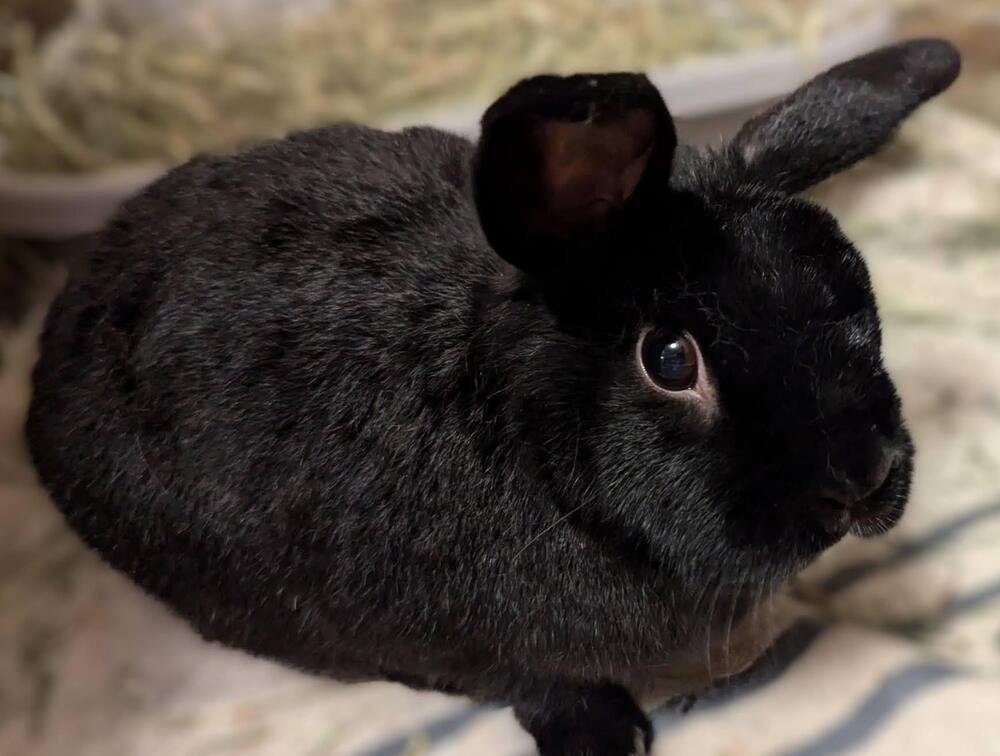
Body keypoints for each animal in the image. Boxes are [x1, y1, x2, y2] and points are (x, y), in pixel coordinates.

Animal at [25, 38, 960, 756]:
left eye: (851, 283)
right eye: (668, 359)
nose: (863, 476)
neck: (535, 442)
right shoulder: (478, 645)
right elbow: (538, 685)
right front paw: (606, 739)